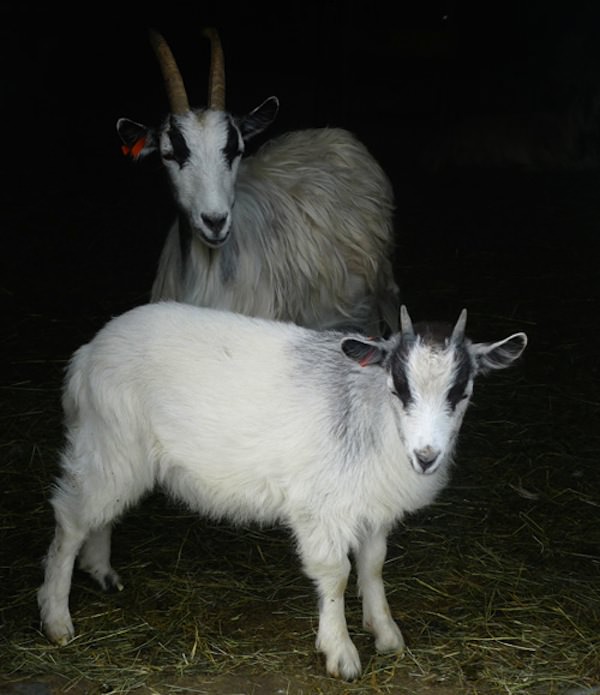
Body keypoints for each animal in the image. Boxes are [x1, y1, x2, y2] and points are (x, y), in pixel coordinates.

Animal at [37, 302, 527, 679]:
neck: (370, 415)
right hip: (108, 444)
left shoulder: (371, 506)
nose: (427, 456)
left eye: (461, 392)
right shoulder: (320, 509)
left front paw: (386, 633)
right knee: (70, 521)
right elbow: (336, 574)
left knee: (100, 515)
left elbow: (372, 567)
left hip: (115, 453)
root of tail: (87, 354)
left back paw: (102, 572)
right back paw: (57, 617)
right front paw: (341, 652)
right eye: (398, 386)